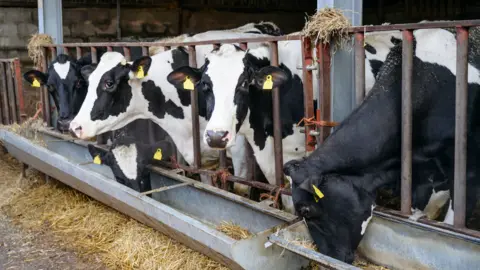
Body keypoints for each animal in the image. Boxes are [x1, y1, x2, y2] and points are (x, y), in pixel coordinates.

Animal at [69, 24, 284, 198]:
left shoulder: (236, 144)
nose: (75, 126)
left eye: (109, 83)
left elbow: (240, 187)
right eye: (88, 82)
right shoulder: (198, 155)